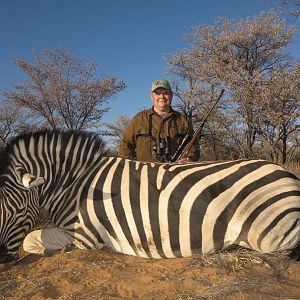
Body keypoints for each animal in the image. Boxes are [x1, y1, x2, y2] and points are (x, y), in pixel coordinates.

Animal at [0, 129, 300, 270]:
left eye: (17, 211)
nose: (1, 259)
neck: (76, 184)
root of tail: (288, 175)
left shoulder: (86, 237)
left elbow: (33, 240)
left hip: (267, 236)